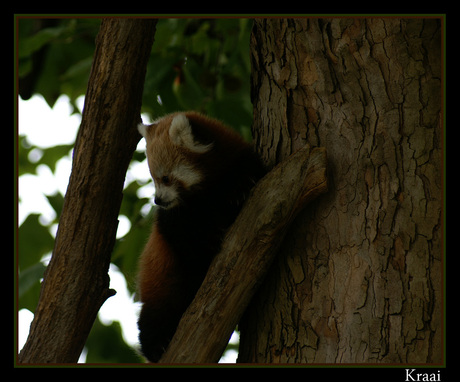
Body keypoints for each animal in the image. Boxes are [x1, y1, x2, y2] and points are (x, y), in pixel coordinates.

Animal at [136, 110, 266, 362]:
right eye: (153, 179)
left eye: (165, 178)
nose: (157, 200)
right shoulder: (175, 217)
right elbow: (185, 238)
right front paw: (208, 247)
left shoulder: (240, 158)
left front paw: (242, 189)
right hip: (161, 284)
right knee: (155, 316)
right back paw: (156, 346)